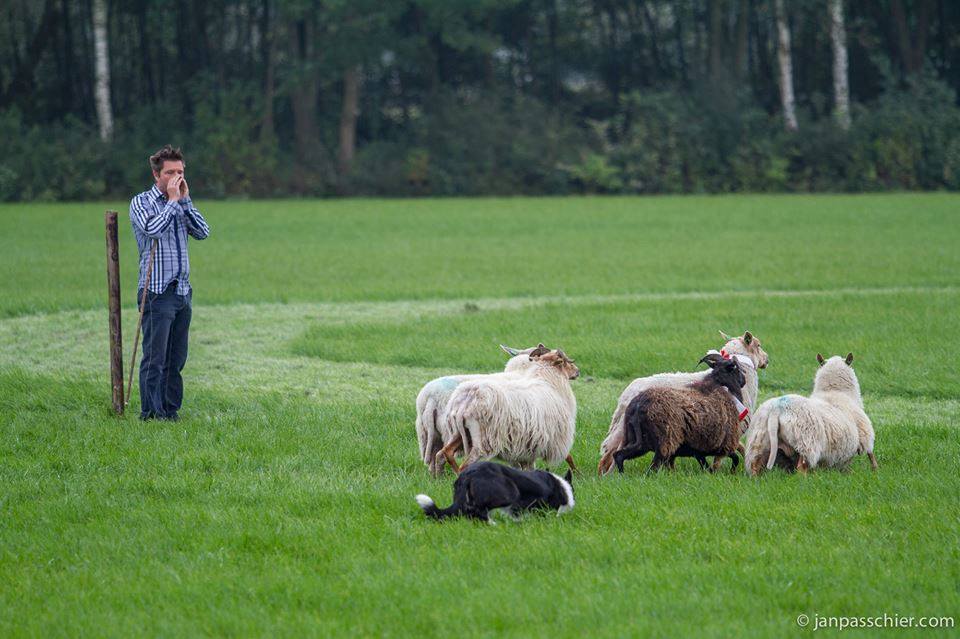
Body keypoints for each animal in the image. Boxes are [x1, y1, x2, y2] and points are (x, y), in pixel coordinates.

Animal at [414, 344, 548, 476]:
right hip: (449, 432)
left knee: (435, 458)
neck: (521, 371)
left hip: (430, 434)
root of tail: (430, 397)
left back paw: (436, 479)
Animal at [440, 350, 580, 476]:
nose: (578, 371)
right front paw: (576, 473)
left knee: (447, 451)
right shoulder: (552, 437)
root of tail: (467, 398)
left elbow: (526, 466)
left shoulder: (528, 443)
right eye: (565, 362)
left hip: (459, 432)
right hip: (483, 440)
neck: (549, 381)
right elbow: (568, 456)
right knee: (465, 465)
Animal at [616, 356, 752, 476]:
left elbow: (706, 467)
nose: (744, 381)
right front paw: (731, 472)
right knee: (652, 468)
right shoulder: (722, 445)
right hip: (662, 443)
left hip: (639, 441)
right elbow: (735, 459)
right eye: (736, 369)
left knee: (619, 455)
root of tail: (638, 405)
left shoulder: (699, 450)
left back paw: (621, 476)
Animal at [744, 352, 876, 478]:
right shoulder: (864, 434)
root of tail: (777, 408)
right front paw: (875, 471)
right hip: (807, 443)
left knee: (755, 466)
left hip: (759, 443)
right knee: (801, 469)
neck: (835, 392)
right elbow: (870, 454)